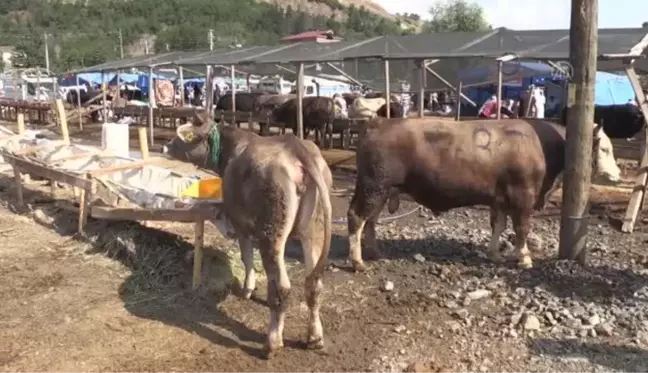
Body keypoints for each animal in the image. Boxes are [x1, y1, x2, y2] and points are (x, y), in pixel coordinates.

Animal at [162, 112, 334, 356]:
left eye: (184, 137)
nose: (166, 146)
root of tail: (295, 146)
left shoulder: (240, 224)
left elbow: (246, 257)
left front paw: (247, 289)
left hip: (271, 233)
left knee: (281, 288)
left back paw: (272, 342)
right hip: (313, 229)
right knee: (314, 285)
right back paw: (315, 337)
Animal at [346, 117, 620, 272]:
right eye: (605, 149)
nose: (617, 174)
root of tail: (379, 122)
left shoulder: (500, 199)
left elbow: (499, 225)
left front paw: (495, 254)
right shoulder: (523, 196)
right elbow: (522, 228)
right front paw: (524, 258)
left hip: (380, 190)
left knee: (370, 220)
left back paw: (375, 253)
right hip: (374, 186)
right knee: (357, 217)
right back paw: (358, 262)